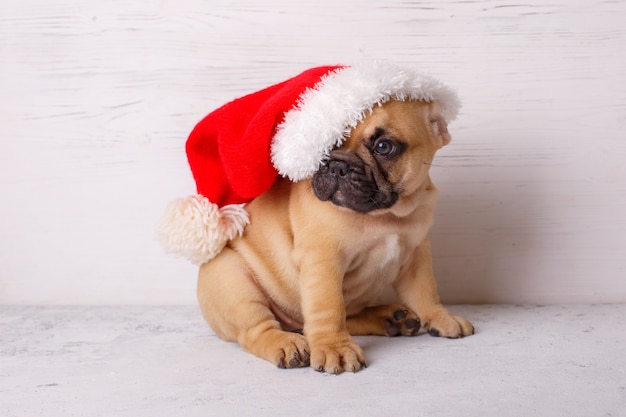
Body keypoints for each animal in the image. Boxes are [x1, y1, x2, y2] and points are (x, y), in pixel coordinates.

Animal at [197, 98, 470, 374]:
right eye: (323, 145)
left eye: (383, 147)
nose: (337, 165)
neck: (383, 216)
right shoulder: (324, 260)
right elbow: (329, 306)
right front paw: (334, 348)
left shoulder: (416, 254)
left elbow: (424, 290)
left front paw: (440, 316)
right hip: (232, 281)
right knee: (256, 330)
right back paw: (285, 343)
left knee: (348, 318)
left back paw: (390, 319)